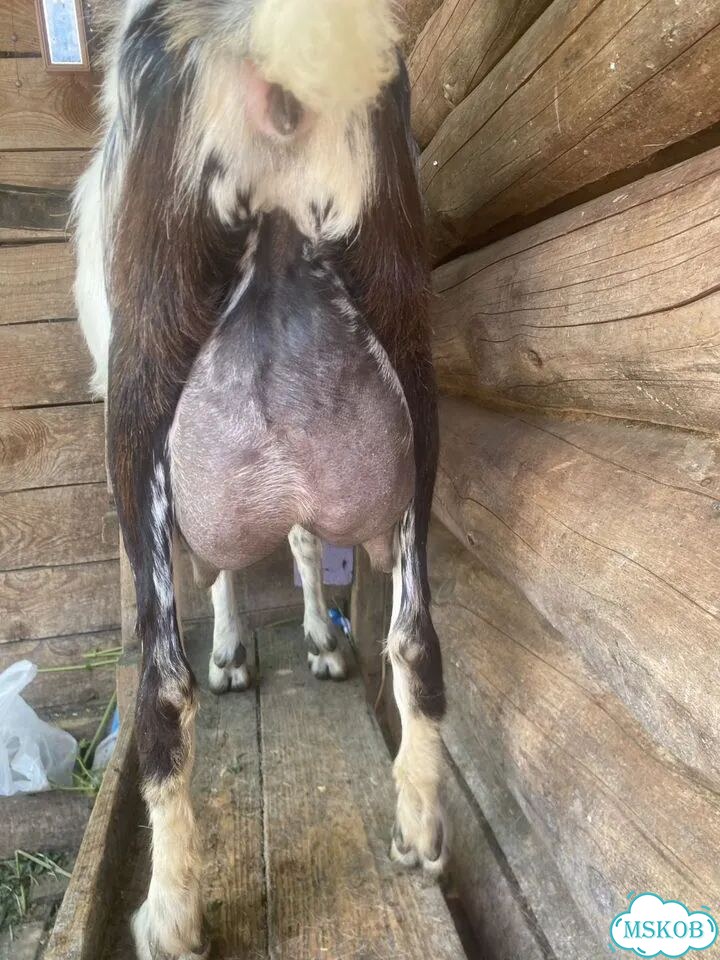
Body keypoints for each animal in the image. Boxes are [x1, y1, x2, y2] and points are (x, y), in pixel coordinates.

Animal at [74, 1, 446, 956]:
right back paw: (420, 820)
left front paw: (237, 653)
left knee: (160, 686)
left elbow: (229, 570)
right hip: (409, 348)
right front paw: (315, 641)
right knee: (415, 635)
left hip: (137, 393)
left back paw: (173, 909)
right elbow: (300, 536)